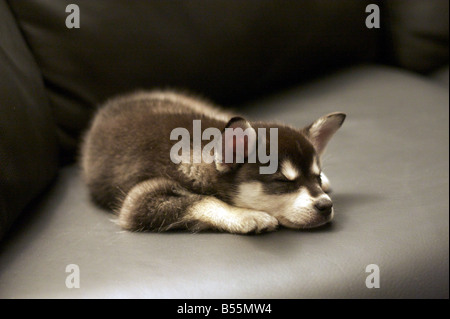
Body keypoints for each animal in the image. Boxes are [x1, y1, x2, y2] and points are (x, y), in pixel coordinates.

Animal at [81, 90, 346, 235]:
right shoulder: (138, 200)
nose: (326, 205)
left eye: (316, 177)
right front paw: (246, 215)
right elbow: (203, 200)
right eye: (282, 181)